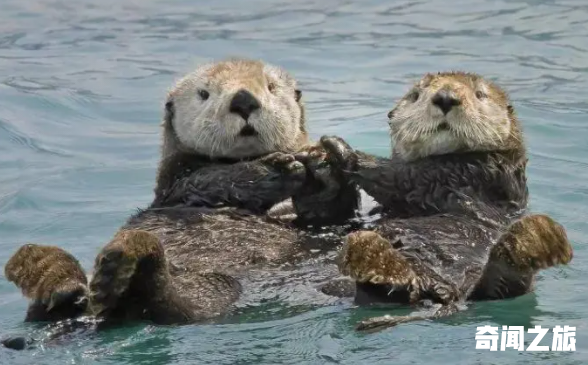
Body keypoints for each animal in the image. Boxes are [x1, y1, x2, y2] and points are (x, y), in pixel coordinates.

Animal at [3, 57, 358, 330]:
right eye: (204, 94)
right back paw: (83, 279)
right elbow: (213, 180)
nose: (243, 100)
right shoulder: (178, 183)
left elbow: (326, 211)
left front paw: (321, 169)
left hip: (214, 286)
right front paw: (276, 170)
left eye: (271, 87)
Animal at [314, 71, 572, 330]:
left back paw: (534, 240)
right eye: (416, 95)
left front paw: (337, 146)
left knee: (505, 288)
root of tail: (449, 296)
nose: (446, 98)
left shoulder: (466, 174)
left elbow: (397, 177)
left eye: (480, 94)